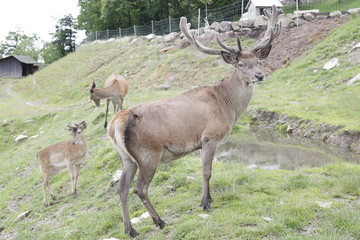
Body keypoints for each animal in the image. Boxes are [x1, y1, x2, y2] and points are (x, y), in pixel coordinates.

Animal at [108, 5, 282, 236]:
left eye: (259, 61)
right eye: (241, 64)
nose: (260, 75)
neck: (227, 105)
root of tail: (115, 124)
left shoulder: (200, 143)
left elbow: (205, 170)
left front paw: (209, 198)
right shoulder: (210, 136)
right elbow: (207, 172)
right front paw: (205, 203)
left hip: (126, 158)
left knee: (122, 188)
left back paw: (130, 229)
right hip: (148, 153)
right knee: (140, 188)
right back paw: (160, 221)